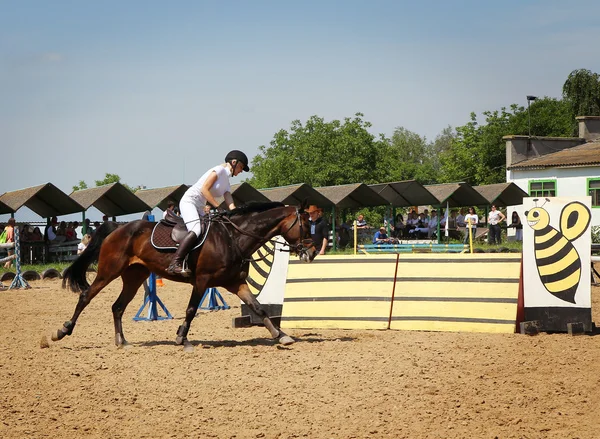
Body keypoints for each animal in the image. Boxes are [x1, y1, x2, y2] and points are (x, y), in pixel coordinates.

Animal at [51, 202, 316, 350]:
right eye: (305, 225)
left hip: (135, 277)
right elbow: (190, 310)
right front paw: (181, 338)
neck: (233, 238)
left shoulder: (237, 283)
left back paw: (121, 341)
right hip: (109, 272)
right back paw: (62, 331)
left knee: (117, 307)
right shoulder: (201, 281)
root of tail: (118, 227)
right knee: (86, 296)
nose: (312, 252)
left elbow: (259, 308)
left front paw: (281, 336)